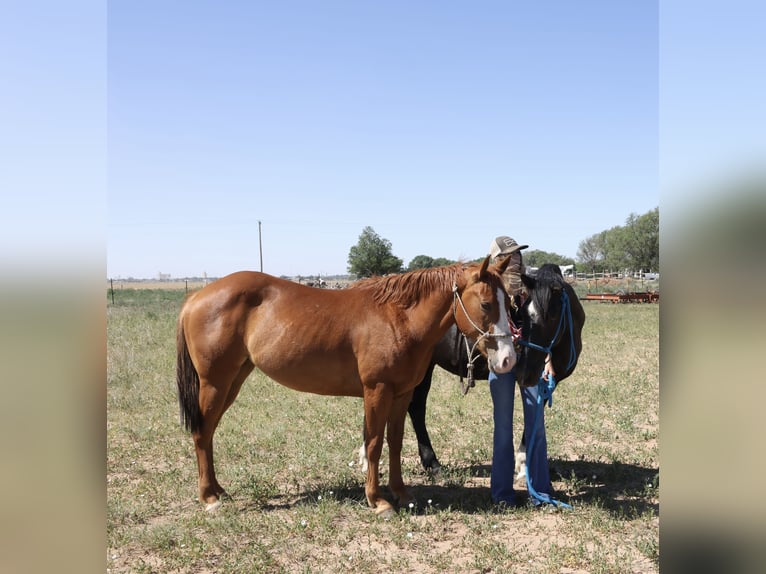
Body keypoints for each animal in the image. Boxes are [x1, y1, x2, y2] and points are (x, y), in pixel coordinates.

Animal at [177, 256, 516, 516]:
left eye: (510, 304)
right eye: (486, 304)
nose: (507, 359)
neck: (397, 317)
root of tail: (195, 298)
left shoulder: (402, 393)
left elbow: (395, 443)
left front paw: (401, 493)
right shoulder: (377, 391)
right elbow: (374, 444)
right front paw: (378, 501)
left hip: (233, 380)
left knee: (208, 433)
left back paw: (218, 490)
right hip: (214, 384)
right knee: (202, 433)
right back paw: (209, 497)